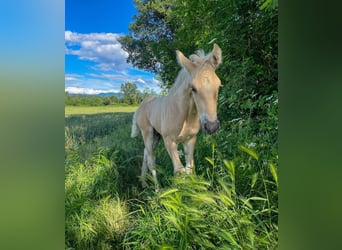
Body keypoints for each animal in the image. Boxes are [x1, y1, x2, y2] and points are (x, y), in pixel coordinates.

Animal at [130, 43, 222, 188]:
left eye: (218, 85)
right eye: (193, 88)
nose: (212, 127)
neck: (184, 116)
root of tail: (141, 104)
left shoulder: (190, 139)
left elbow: (189, 169)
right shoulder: (169, 142)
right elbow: (179, 171)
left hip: (156, 135)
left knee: (145, 154)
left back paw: (144, 183)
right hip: (147, 133)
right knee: (151, 160)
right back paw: (157, 190)